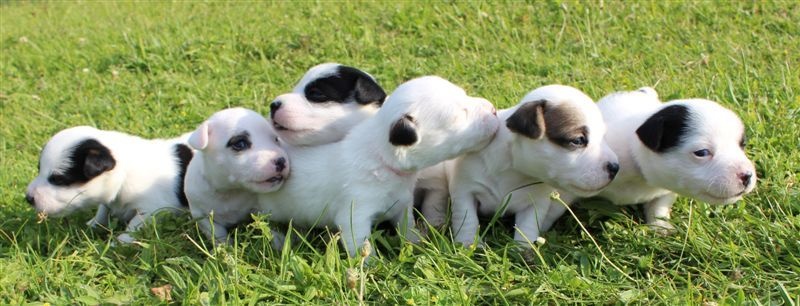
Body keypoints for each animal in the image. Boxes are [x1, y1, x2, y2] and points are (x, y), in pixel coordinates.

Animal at [26, 125, 192, 243]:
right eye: (39, 169)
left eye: (58, 179)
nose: (28, 198)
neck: (124, 174)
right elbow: (102, 212)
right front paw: (92, 225)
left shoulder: (153, 208)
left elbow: (136, 224)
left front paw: (120, 241)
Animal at [184, 107, 290, 244]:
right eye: (240, 144)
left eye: (276, 140)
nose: (281, 161)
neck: (230, 191)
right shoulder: (201, 215)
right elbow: (216, 232)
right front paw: (224, 246)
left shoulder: (261, 208)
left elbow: (268, 223)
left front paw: (278, 240)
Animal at [258, 76, 500, 256]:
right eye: (460, 116)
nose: (493, 109)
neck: (380, 158)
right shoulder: (354, 216)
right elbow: (361, 245)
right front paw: (371, 266)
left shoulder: (402, 204)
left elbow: (407, 226)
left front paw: (415, 242)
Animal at [438, 85, 620, 247]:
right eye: (578, 140)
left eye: (603, 136)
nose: (616, 167)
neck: (514, 170)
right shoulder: (465, 189)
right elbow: (467, 217)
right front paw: (468, 243)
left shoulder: (536, 203)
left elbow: (528, 225)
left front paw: (524, 248)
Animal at [536, 87, 756, 233]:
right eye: (702, 152)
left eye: (742, 144)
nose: (747, 176)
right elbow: (553, 207)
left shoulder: (665, 190)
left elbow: (659, 207)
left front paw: (661, 228)